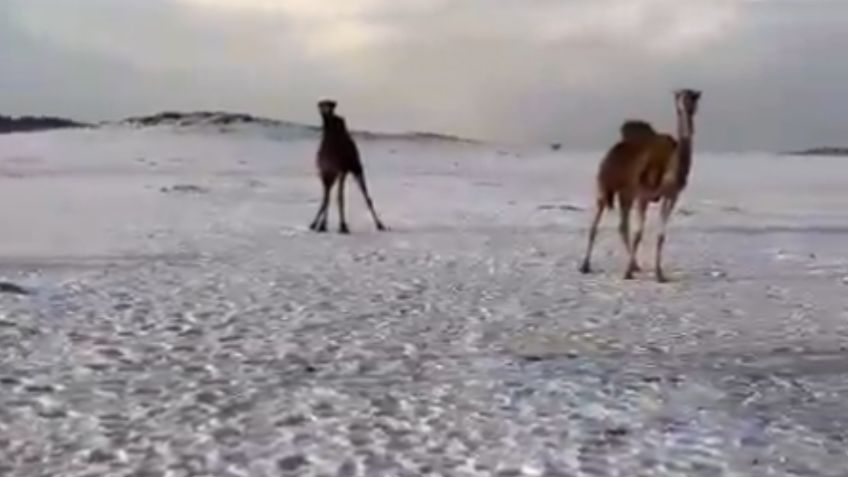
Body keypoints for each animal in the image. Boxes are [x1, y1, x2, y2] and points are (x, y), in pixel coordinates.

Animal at [308, 100, 388, 234]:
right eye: (321, 105)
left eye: (330, 105)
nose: (325, 111)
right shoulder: (326, 172)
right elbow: (327, 199)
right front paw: (321, 225)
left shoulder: (343, 170)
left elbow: (339, 198)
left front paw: (342, 226)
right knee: (328, 197)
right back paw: (316, 224)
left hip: (355, 168)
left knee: (366, 195)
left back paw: (380, 225)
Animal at [576, 89, 704, 280]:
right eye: (679, 97)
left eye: (695, 97)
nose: (687, 107)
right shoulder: (643, 195)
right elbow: (639, 234)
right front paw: (627, 273)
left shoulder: (671, 196)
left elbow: (660, 235)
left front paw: (659, 274)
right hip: (605, 186)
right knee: (596, 224)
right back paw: (585, 265)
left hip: (626, 194)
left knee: (622, 226)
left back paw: (635, 266)